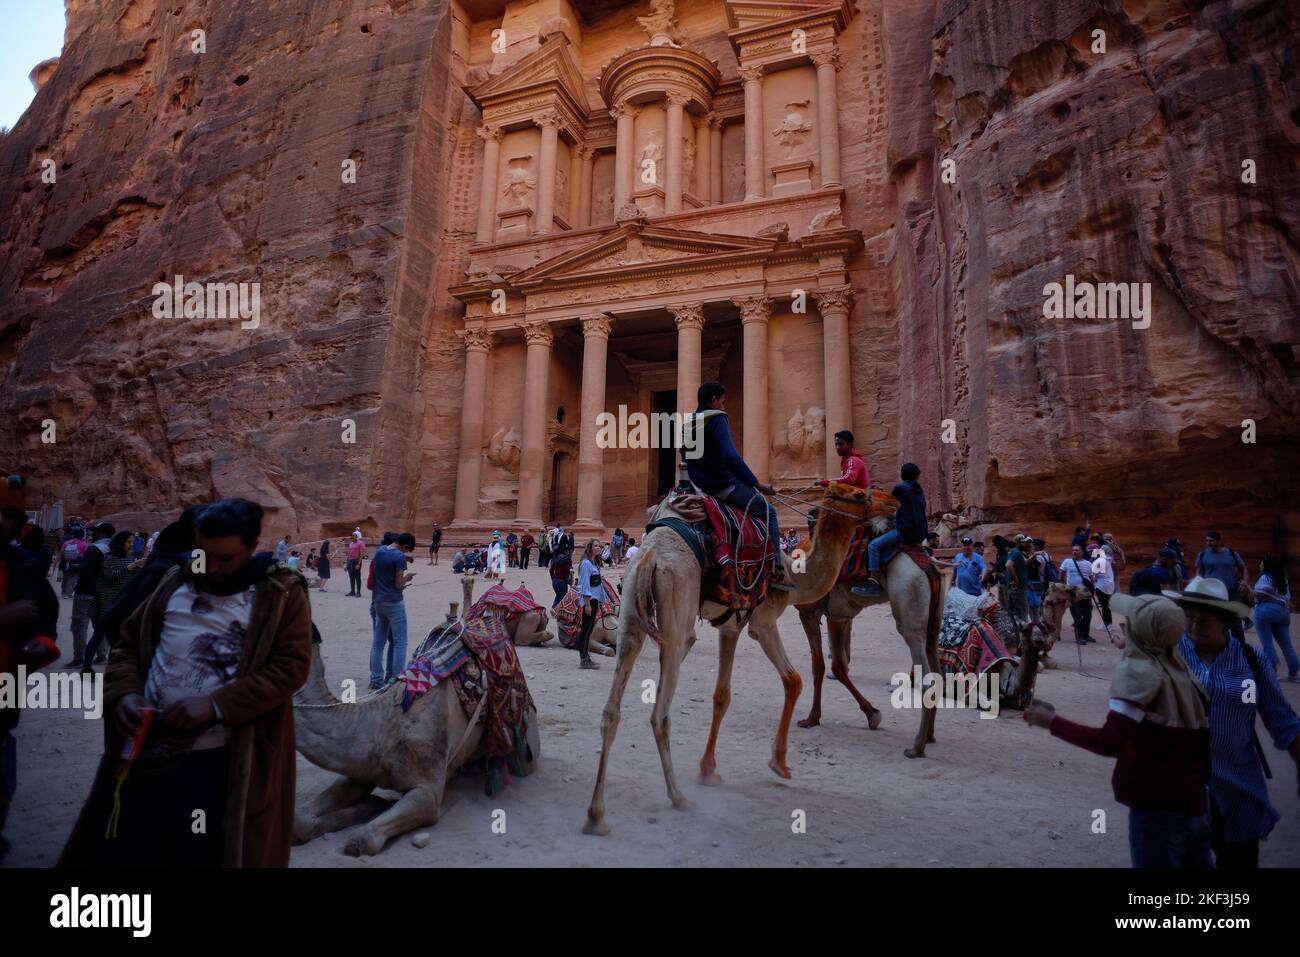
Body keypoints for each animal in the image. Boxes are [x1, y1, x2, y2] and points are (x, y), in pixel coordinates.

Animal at [293, 613, 538, 858]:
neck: (384, 723)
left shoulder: (427, 792)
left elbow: (361, 839)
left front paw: (373, 806)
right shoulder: (360, 770)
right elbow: (301, 821)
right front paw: (372, 804)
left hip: (525, 742)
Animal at [585, 481, 909, 832]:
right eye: (860, 494)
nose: (893, 501)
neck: (796, 574)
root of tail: (650, 557)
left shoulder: (730, 626)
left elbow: (722, 696)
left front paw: (708, 769)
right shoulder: (762, 622)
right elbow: (793, 680)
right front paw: (779, 763)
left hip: (632, 614)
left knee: (611, 710)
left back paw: (596, 814)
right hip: (677, 617)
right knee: (660, 712)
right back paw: (677, 796)